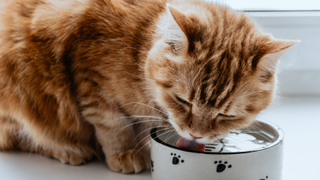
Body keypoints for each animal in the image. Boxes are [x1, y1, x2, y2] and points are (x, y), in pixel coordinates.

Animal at [0, 0, 298, 174]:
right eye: (183, 101)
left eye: (227, 115)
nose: (197, 134)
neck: (136, 45)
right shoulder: (90, 78)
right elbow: (112, 123)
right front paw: (125, 152)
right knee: (24, 136)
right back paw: (68, 149)